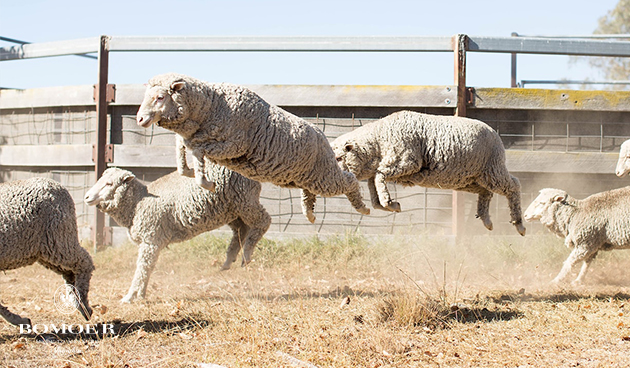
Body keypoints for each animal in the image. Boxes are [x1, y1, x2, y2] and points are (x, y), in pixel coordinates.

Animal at [0, 178, 94, 324]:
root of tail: (57, 185)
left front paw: (19, 320)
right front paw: (19, 320)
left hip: (60, 237)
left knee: (84, 262)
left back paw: (83, 304)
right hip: (48, 251)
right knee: (70, 273)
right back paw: (75, 298)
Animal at [84, 165, 272, 304]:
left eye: (109, 184)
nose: (86, 197)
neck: (138, 202)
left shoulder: (151, 239)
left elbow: (142, 269)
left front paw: (130, 296)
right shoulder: (151, 241)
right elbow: (148, 268)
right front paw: (141, 294)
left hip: (245, 199)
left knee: (264, 221)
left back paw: (247, 253)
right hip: (231, 209)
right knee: (241, 229)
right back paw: (228, 260)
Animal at [135, 71, 370, 221]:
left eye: (160, 97)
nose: (140, 119)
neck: (212, 106)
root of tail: (321, 135)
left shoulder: (232, 147)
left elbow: (198, 152)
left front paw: (206, 183)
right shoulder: (193, 137)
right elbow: (182, 151)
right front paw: (189, 171)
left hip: (323, 175)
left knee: (349, 180)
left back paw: (363, 208)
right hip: (303, 178)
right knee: (308, 193)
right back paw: (310, 214)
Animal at [330, 110, 528, 236]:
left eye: (339, 158)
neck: (378, 140)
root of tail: (495, 132)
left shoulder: (406, 162)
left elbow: (378, 178)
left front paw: (388, 203)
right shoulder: (390, 167)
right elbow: (374, 186)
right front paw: (387, 204)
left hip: (492, 169)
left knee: (514, 185)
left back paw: (519, 224)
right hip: (468, 179)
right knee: (486, 192)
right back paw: (486, 220)